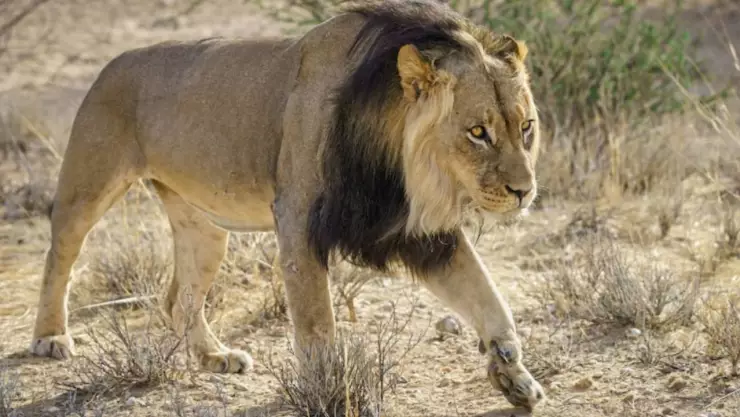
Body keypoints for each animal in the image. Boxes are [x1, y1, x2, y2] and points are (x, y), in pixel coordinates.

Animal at [29, 0, 544, 410]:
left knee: (179, 298)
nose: (524, 190)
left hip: (202, 227)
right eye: (477, 132)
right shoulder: (297, 217)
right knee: (60, 257)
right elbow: (317, 327)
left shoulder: (413, 232)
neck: (398, 165)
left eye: (526, 128)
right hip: (88, 185)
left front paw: (513, 373)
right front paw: (330, 393)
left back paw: (215, 356)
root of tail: (112, 61)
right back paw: (50, 337)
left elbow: (488, 296)